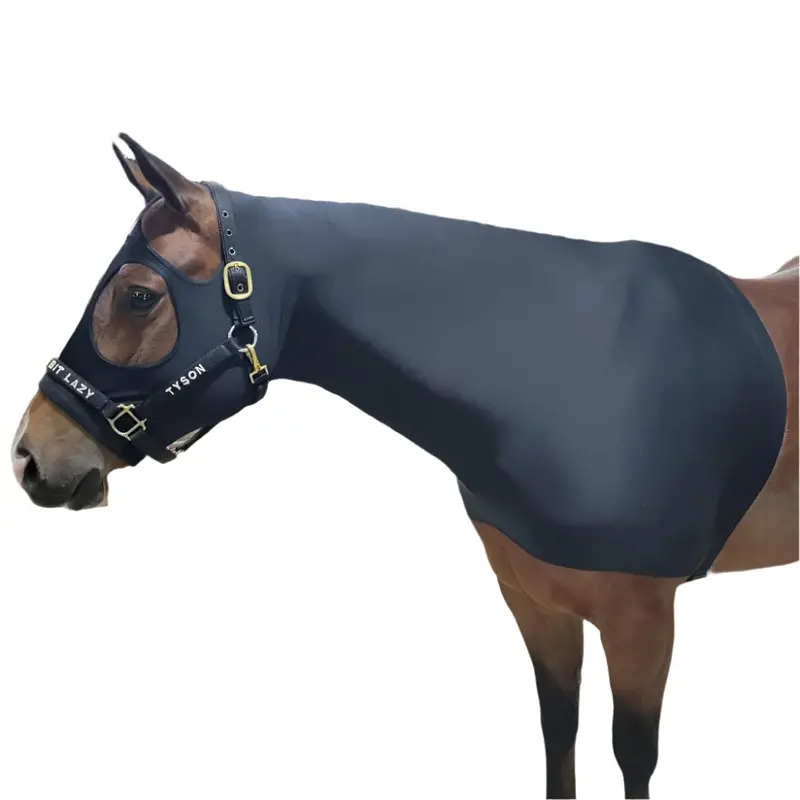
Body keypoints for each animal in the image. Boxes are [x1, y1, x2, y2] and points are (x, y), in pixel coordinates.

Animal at [11, 134, 798, 799]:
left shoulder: (641, 616)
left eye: (139, 296)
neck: (570, 368)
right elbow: (558, 731)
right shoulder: (535, 602)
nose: (30, 456)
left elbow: (633, 755)